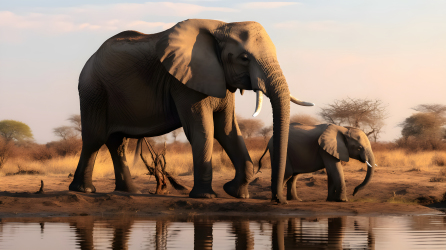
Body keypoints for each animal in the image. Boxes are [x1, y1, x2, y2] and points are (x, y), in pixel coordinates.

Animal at [69, 18, 314, 202]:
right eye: (244, 58)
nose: (277, 199)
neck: (221, 27)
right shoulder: (185, 81)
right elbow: (203, 129)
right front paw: (206, 196)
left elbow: (227, 130)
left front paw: (236, 193)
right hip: (93, 90)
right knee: (95, 139)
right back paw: (84, 190)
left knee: (117, 142)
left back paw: (130, 192)